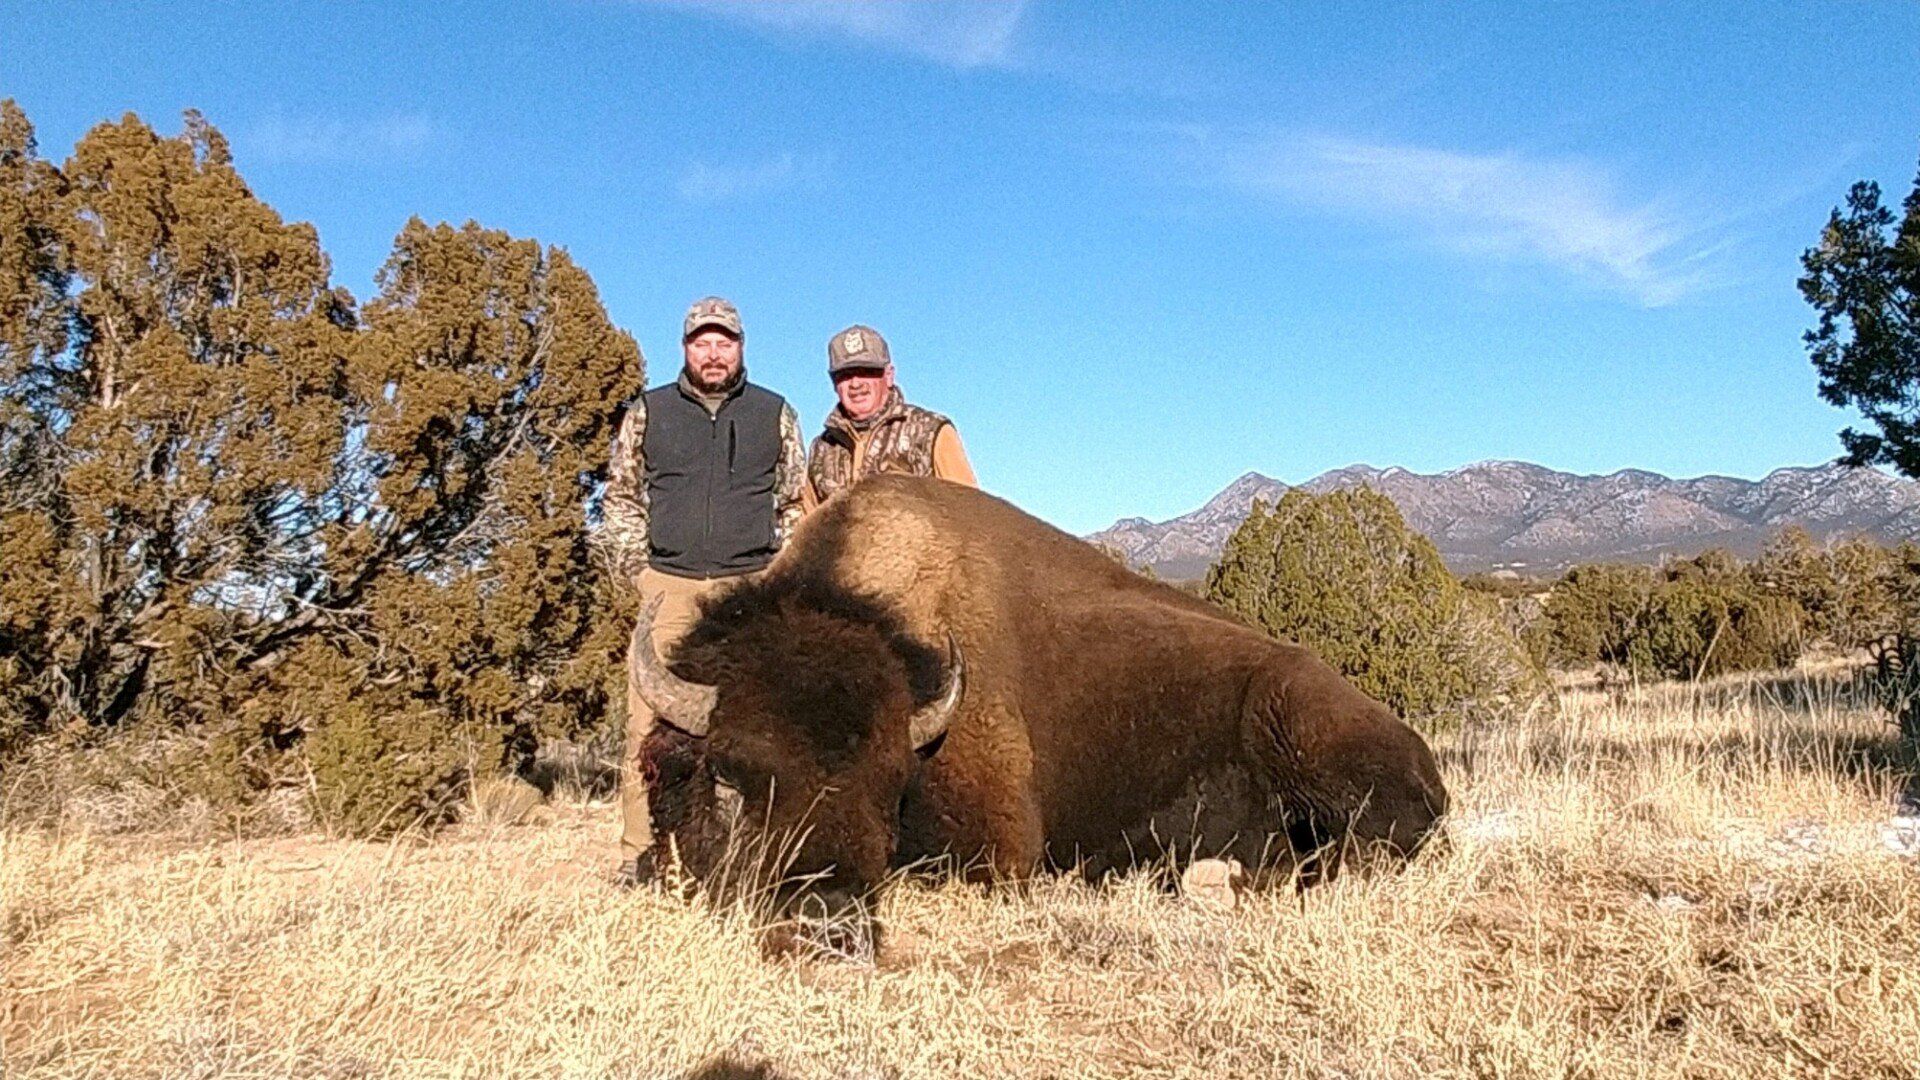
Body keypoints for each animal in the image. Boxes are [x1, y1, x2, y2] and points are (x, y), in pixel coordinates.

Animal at [632, 476, 1448, 934]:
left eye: (889, 785)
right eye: (725, 778)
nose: (822, 914)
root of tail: (1425, 762)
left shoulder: (1002, 851)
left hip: (1296, 717)